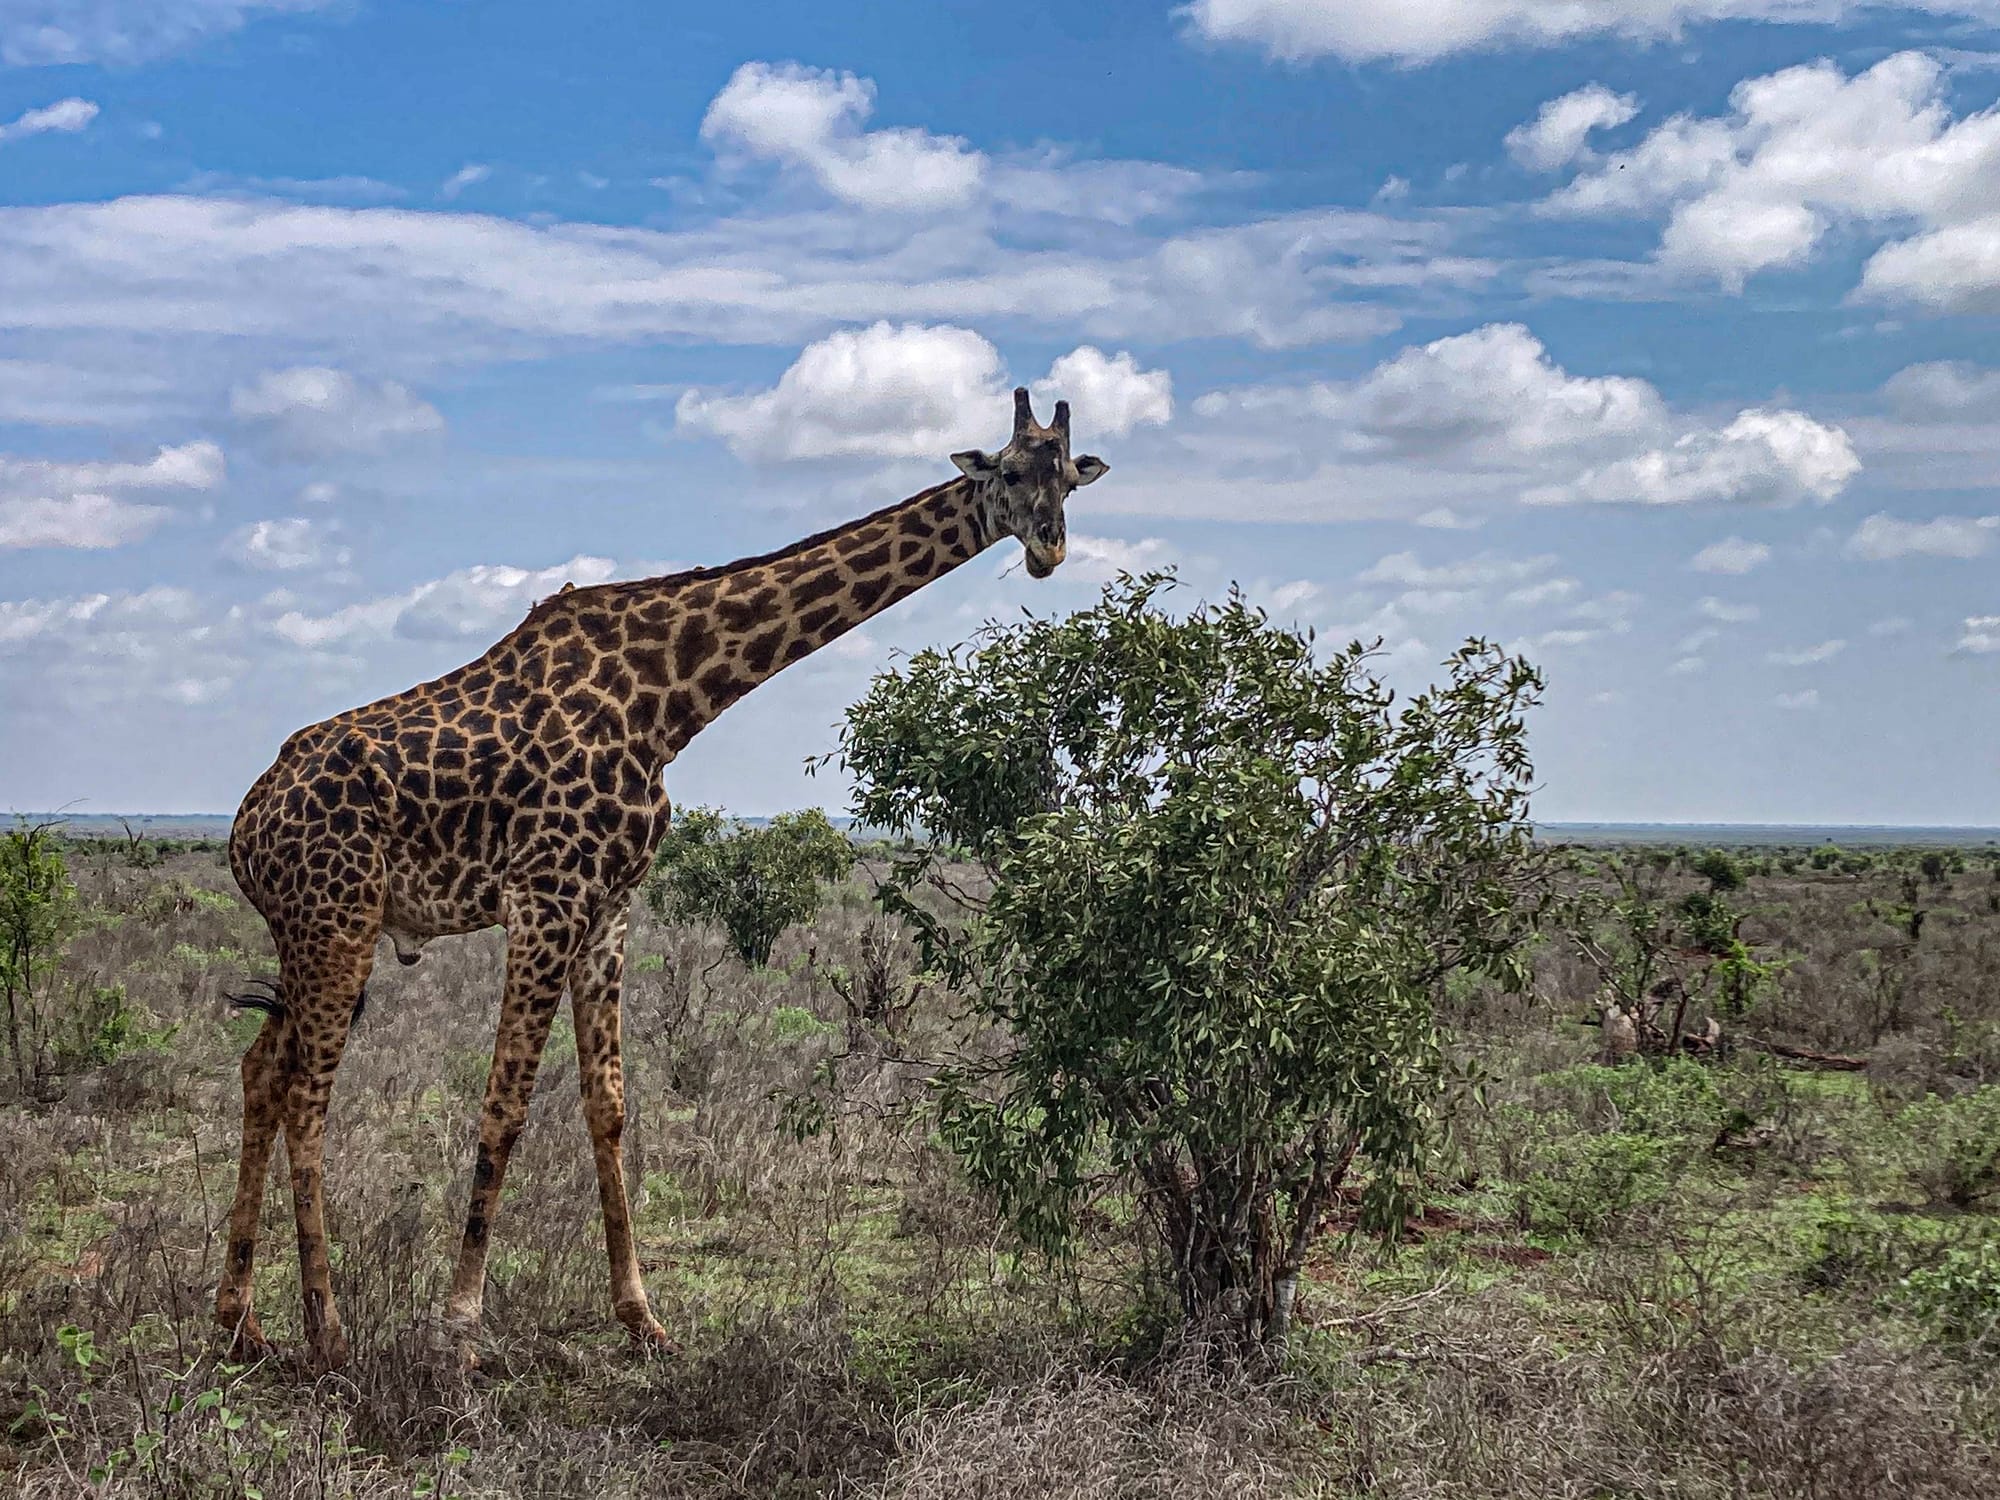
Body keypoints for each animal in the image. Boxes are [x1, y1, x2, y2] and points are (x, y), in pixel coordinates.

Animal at [216, 388, 1107, 1369]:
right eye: (1010, 472)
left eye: (1071, 480)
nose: (1049, 549)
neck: (671, 698)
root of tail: (244, 828)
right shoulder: (545, 896)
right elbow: (504, 1104)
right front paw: (460, 1325)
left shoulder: (608, 905)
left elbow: (608, 1105)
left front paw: (641, 1317)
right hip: (336, 921)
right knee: (307, 1092)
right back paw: (327, 1329)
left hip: (313, 929)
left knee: (263, 1071)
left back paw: (241, 1321)